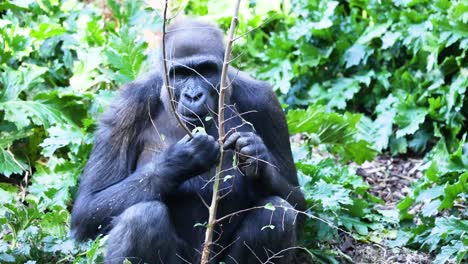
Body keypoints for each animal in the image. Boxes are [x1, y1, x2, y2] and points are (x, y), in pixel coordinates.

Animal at [68, 19, 304, 264]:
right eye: (180, 74)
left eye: (205, 70)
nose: (193, 96)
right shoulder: (125, 106)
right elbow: (87, 208)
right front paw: (180, 160)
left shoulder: (265, 101)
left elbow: (298, 202)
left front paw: (255, 156)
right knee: (142, 217)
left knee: (278, 212)